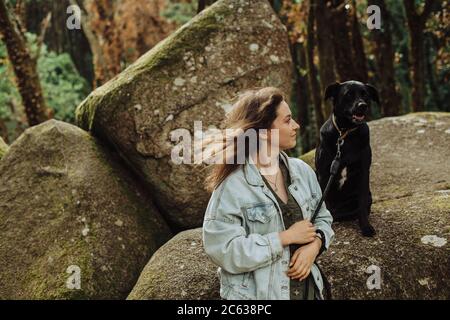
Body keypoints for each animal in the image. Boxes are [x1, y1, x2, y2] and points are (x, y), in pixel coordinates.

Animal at [316, 80, 380, 235]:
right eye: (348, 95)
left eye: (365, 94)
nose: (362, 105)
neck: (346, 133)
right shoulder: (323, 174)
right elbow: (323, 202)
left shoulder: (363, 172)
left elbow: (361, 205)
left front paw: (366, 227)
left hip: (368, 196)